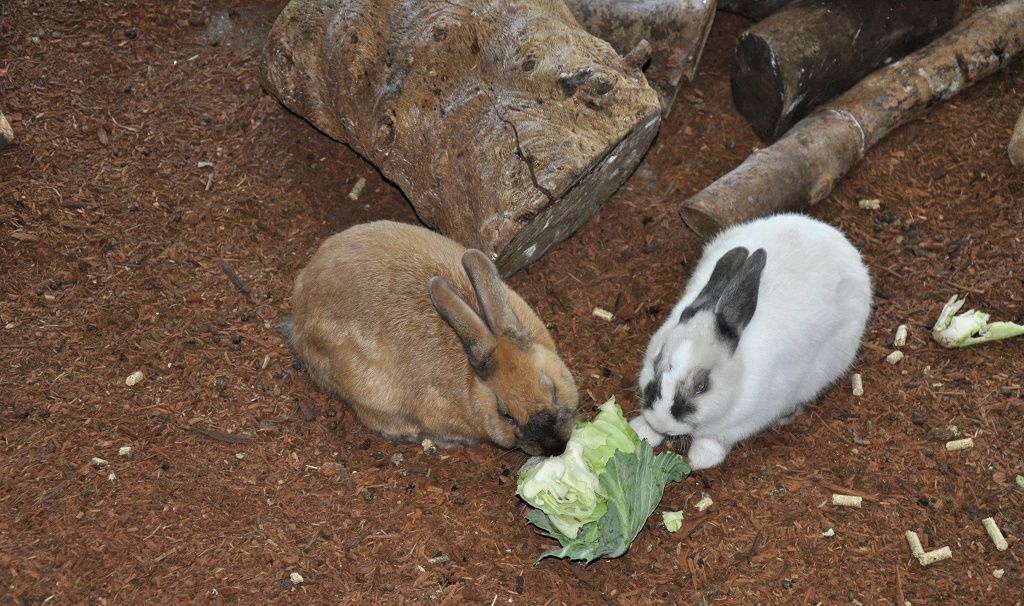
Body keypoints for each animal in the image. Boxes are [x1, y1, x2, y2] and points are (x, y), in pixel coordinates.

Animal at [630, 214, 872, 470]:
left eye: (702, 387)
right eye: (656, 362)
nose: (660, 421)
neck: (738, 373)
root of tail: (843, 244)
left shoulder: (743, 423)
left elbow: (715, 439)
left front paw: (700, 458)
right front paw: (642, 431)